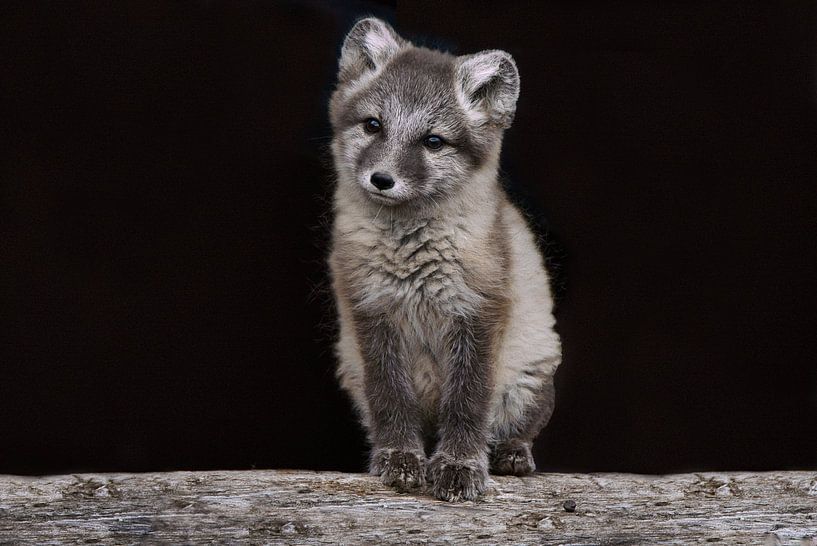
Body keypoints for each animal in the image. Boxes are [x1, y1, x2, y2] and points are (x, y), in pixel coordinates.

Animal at [328, 17, 562, 502]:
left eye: (433, 141)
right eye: (373, 125)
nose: (382, 179)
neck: (410, 256)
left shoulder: (479, 312)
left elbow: (468, 401)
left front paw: (459, 465)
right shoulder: (370, 311)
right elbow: (391, 399)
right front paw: (400, 458)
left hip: (529, 376)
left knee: (516, 428)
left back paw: (512, 454)